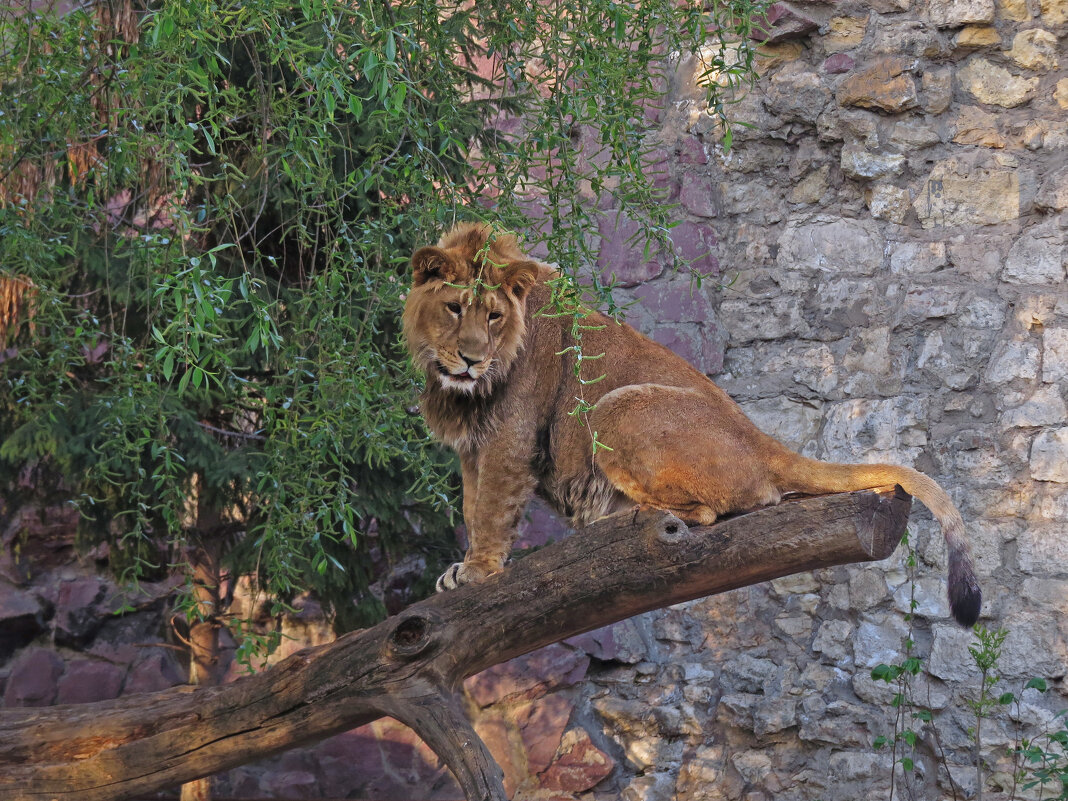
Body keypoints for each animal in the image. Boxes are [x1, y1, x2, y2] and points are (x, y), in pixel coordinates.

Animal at [401, 223, 982, 632]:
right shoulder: (472, 447)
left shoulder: (512, 435)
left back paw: (624, 520)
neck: (464, 392)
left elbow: (491, 510)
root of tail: (760, 439)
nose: (472, 359)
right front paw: (461, 571)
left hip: (615, 405)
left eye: (493, 315)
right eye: (453, 308)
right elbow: (472, 506)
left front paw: (478, 573)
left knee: (707, 511)